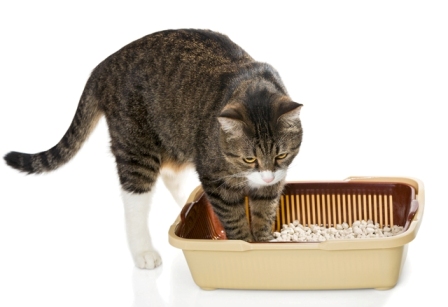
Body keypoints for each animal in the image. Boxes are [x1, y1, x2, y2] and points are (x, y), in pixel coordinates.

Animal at [3, 28, 302, 270]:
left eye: (281, 154)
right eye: (249, 158)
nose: (266, 176)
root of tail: (103, 65)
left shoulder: (274, 182)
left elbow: (263, 212)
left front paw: (263, 240)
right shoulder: (215, 177)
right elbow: (234, 217)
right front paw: (243, 243)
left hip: (173, 138)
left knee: (174, 179)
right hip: (135, 146)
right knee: (135, 201)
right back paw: (144, 251)